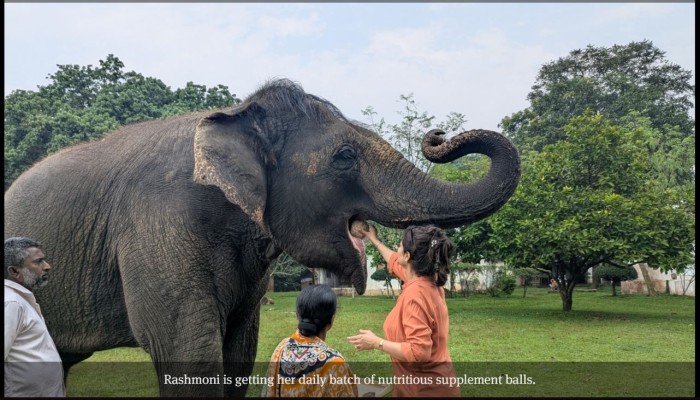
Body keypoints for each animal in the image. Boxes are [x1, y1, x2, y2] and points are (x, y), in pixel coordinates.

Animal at [4, 78, 520, 397]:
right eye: (345, 157)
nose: (438, 136)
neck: (235, 114)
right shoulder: (157, 223)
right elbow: (189, 356)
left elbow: (239, 352)